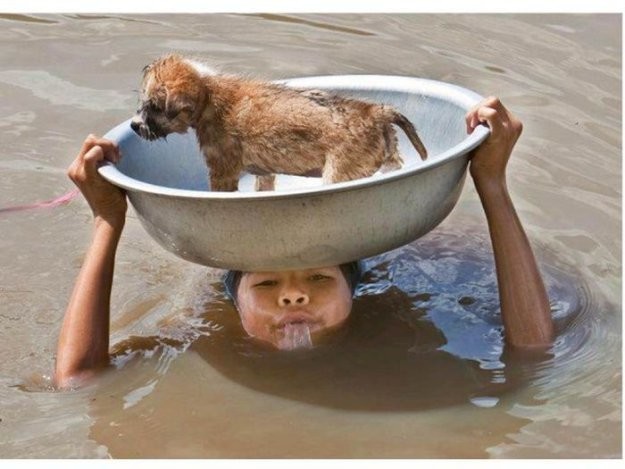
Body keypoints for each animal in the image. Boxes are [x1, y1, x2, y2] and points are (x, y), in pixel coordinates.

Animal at [129, 55, 426, 192]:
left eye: (154, 107)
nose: (134, 125)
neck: (208, 95)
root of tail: (375, 111)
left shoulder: (222, 171)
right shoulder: (264, 173)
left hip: (339, 174)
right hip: (389, 157)